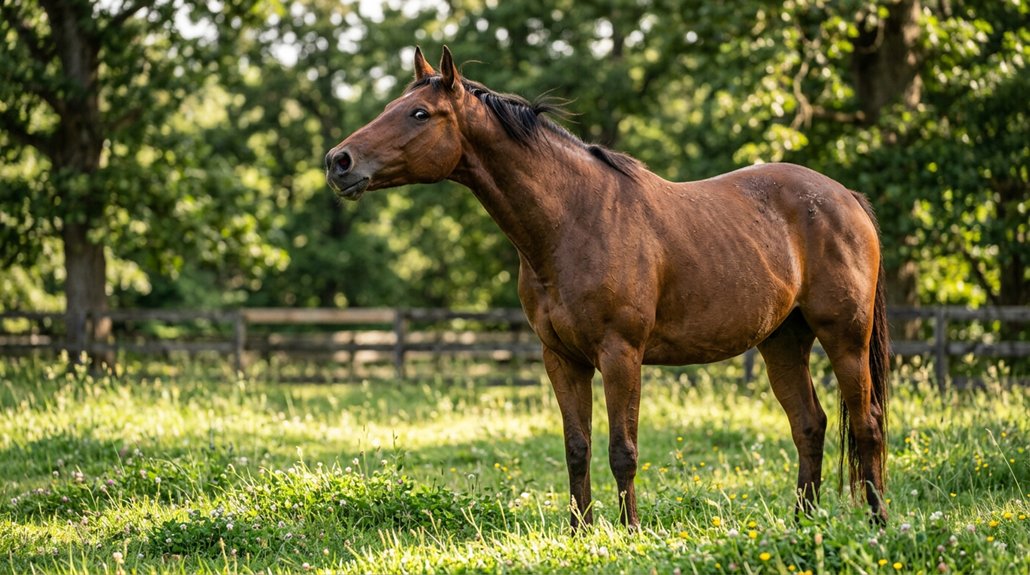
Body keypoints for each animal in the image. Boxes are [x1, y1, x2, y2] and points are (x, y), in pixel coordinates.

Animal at [325, 47, 890, 529]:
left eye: (420, 114)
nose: (339, 162)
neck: (574, 220)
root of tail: (846, 198)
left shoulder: (621, 354)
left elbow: (624, 450)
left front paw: (631, 530)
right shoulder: (561, 358)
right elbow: (578, 447)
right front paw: (580, 531)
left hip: (844, 337)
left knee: (867, 424)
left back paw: (878, 523)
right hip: (783, 341)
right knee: (810, 424)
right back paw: (803, 523)